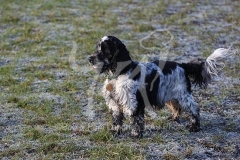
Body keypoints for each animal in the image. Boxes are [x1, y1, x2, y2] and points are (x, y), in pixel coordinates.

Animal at [88, 35, 232, 138]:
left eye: (105, 49)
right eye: (97, 48)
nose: (90, 58)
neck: (120, 73)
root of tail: (182, 66)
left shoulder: (133, 102)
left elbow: (136, 119)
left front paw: (136, 134)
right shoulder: (114, 102)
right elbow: (117, 119)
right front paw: (115, 132)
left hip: (183, 95)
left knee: (194, 108)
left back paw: (194, 127)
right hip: (171, 96)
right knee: (177, 107)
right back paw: (173, 118)